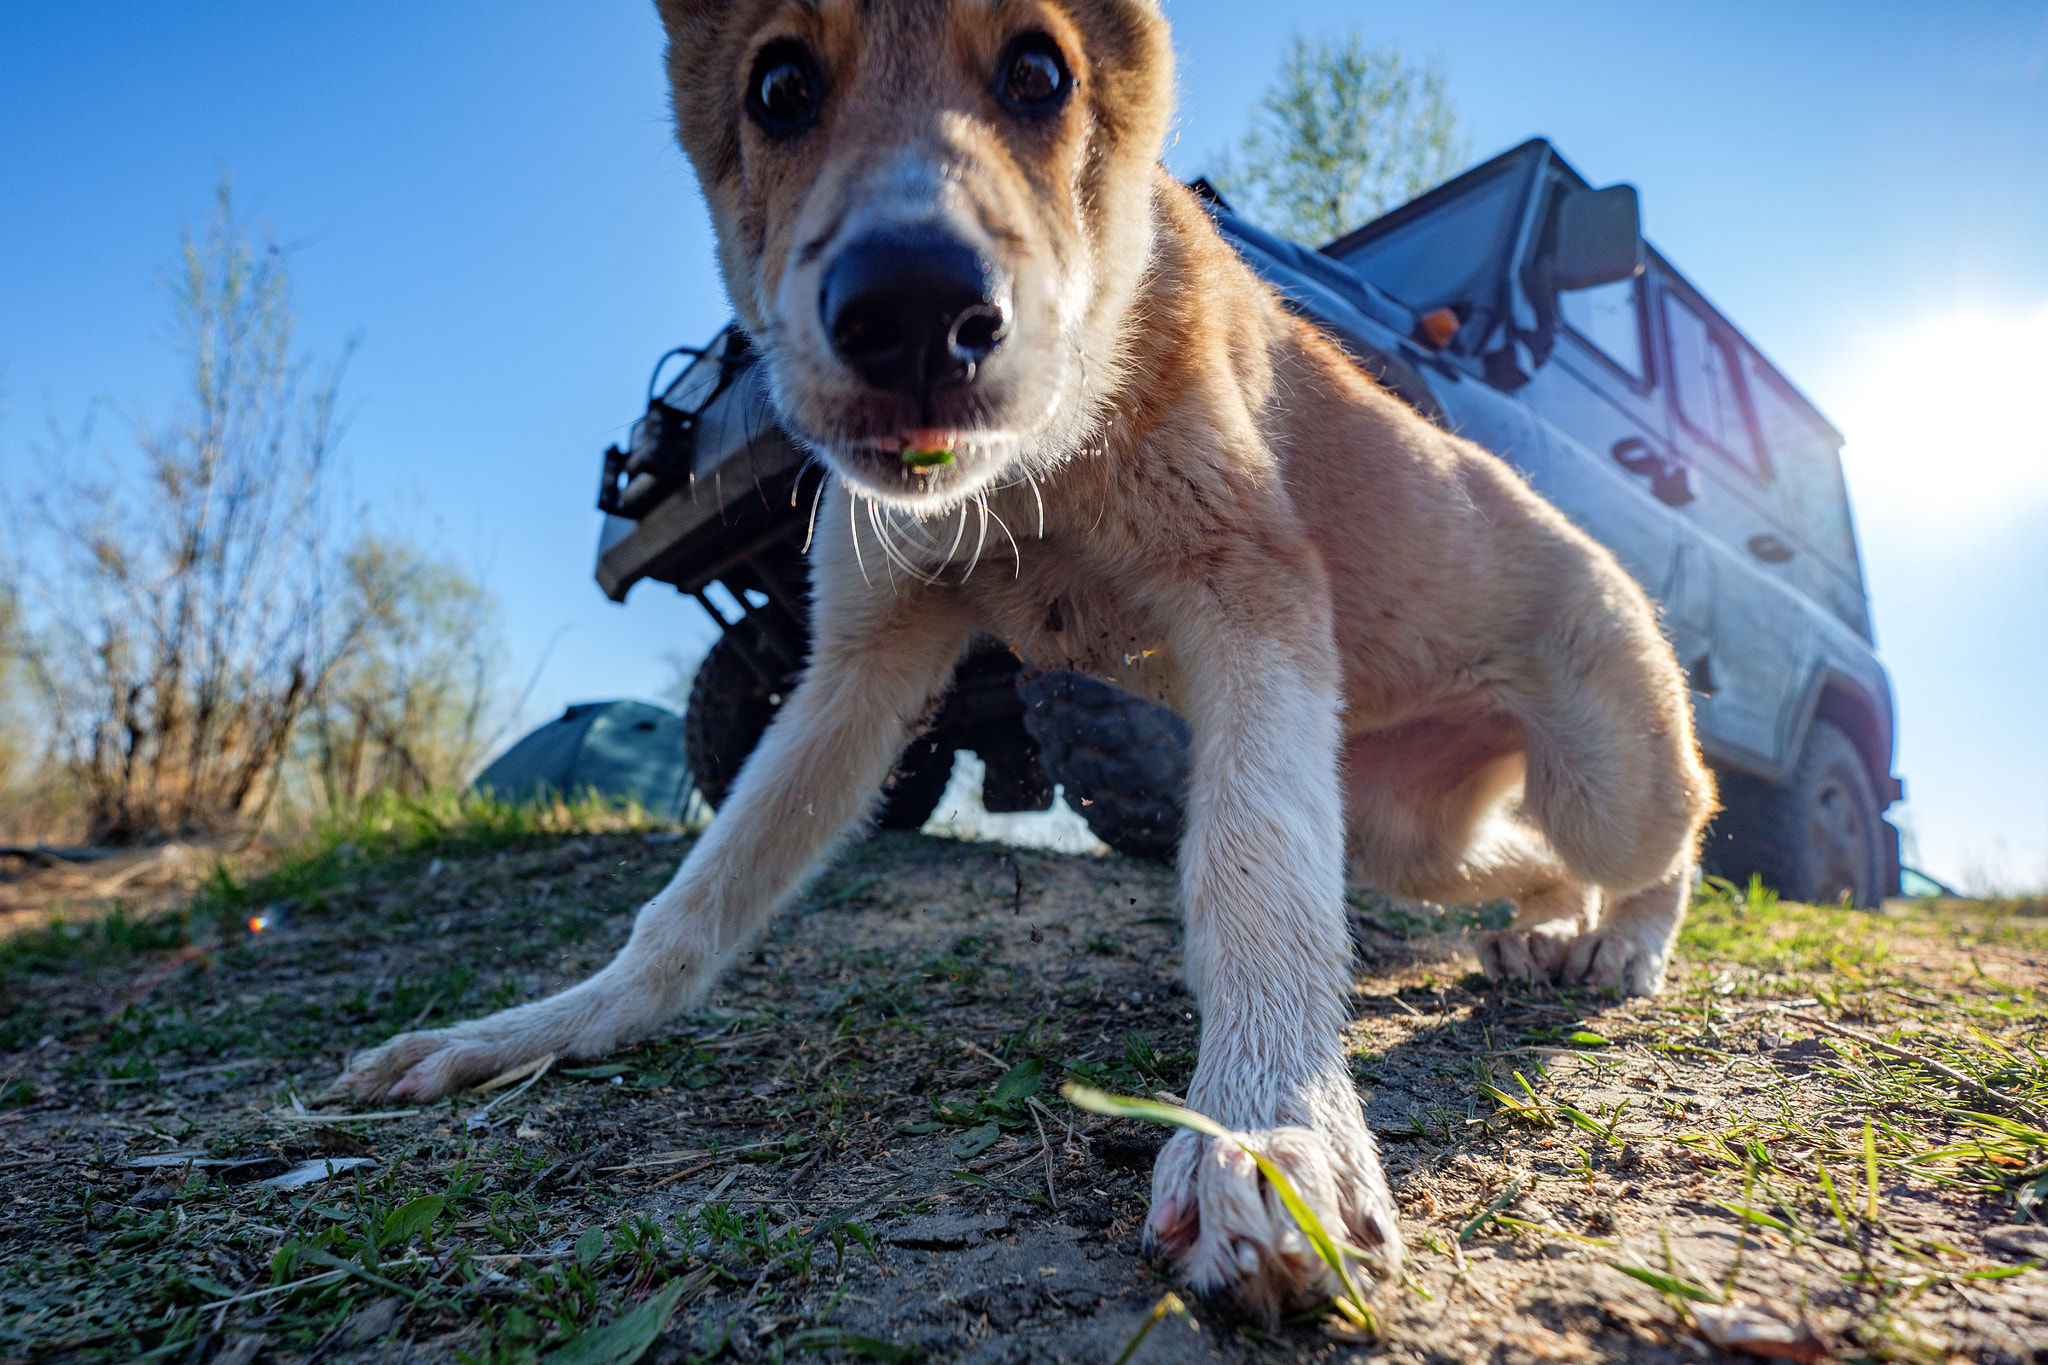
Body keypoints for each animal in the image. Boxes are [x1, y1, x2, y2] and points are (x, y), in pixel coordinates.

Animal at [344, 0, 1720, 1326]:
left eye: (1038, 74)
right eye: (778, 87)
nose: (913, 320)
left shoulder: (1252, 599)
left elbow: (1252, 882)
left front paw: (1270, 1134)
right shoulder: (855, 669)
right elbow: (695, 898)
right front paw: (544, 1027)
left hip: (1605, 784)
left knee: (1676, 833)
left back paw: (1621, 947)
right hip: (1403, 829)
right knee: (1526, 862)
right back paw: (1542, 928)